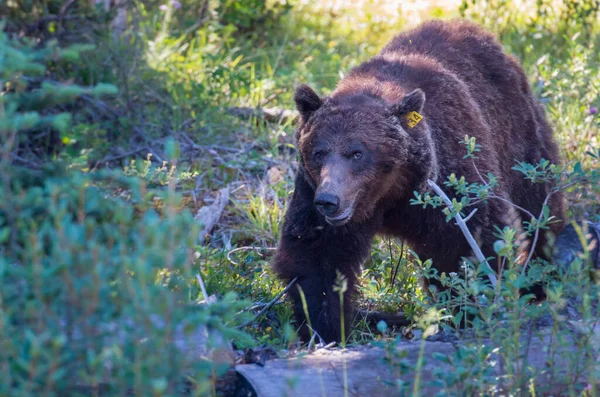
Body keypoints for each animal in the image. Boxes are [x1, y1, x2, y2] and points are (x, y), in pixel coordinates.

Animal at [274, 19, 564, 340]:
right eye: (319, 152)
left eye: (357, 153)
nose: (329, 201)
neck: (389, 194)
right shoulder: (311, 192)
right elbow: (317, 256)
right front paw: (326, 327)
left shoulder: (448, 181)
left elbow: (469, 242)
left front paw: (468, 309)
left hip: (517, 134)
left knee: (538, 205)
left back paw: (538, 275)